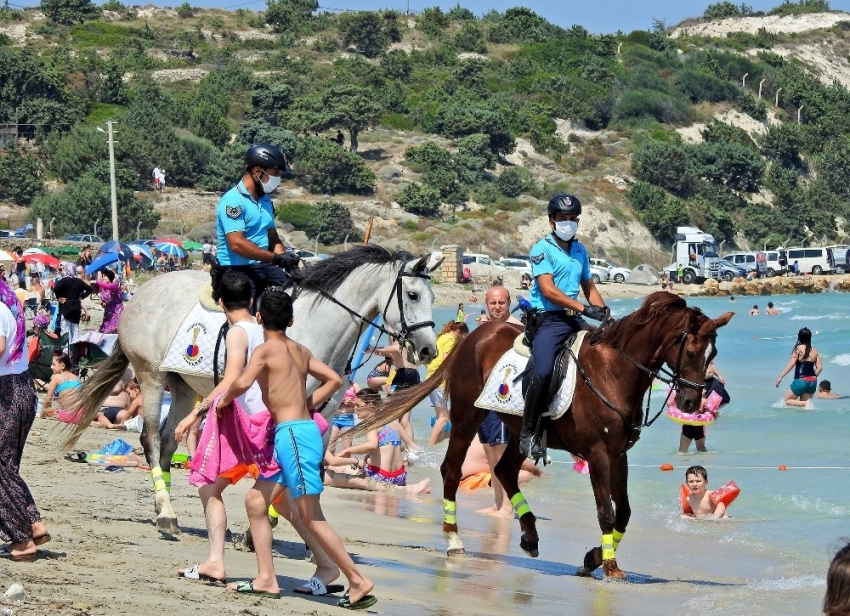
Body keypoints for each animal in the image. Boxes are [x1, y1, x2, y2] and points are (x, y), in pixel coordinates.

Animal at [65, 245, 438, 536]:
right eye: (413, 295)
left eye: (432, 297)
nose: (429, 350)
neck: (315, 329)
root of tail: (144, 291)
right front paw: (262, 527)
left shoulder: (326, 412)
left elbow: (310, 465)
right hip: (151, 376)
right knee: (152, 439)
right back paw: (166, 512)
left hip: (183, 385)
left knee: (170, 440)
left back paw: (165, 511)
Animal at [350, 292, 728, 576]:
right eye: (691, 351)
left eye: (713, 353)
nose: (691, 401)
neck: (614, 371)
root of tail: (473, 336)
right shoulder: (598, 454)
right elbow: (606, 512)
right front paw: (608, 566)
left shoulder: (618, 453)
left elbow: (623, 512)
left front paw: (594, 559)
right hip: (468, 416)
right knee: (452, 470)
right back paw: (455, 541)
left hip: (520, 429)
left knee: (504, 471)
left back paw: (529, 535)